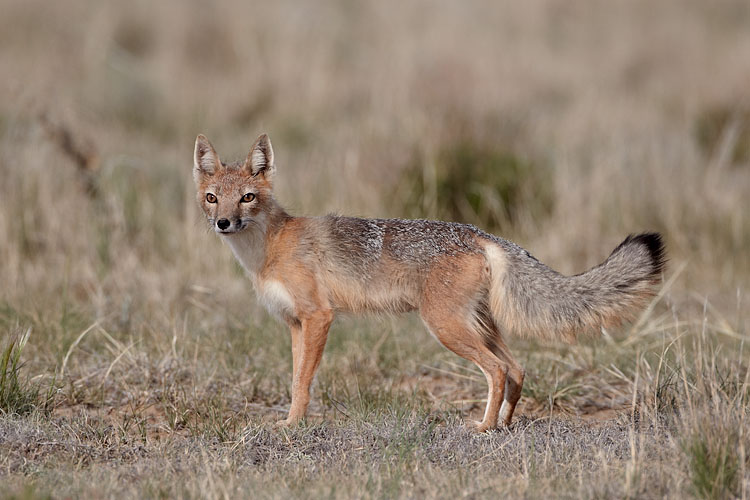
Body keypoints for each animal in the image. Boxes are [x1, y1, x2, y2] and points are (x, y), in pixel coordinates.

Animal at [193, 133, 666, 432]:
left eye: (248, 198)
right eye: (213, 198)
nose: (223, 223)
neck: (269, 248)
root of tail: (479, 233)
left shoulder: (319, 318)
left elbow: (302, 383)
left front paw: (293, 426)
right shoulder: (295, 324)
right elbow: (295, 379)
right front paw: (291, 421)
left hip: (445, 327)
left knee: (497, 370)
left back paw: (484, 427)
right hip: (477, 326)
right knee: (516, 368)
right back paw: (505, 424)